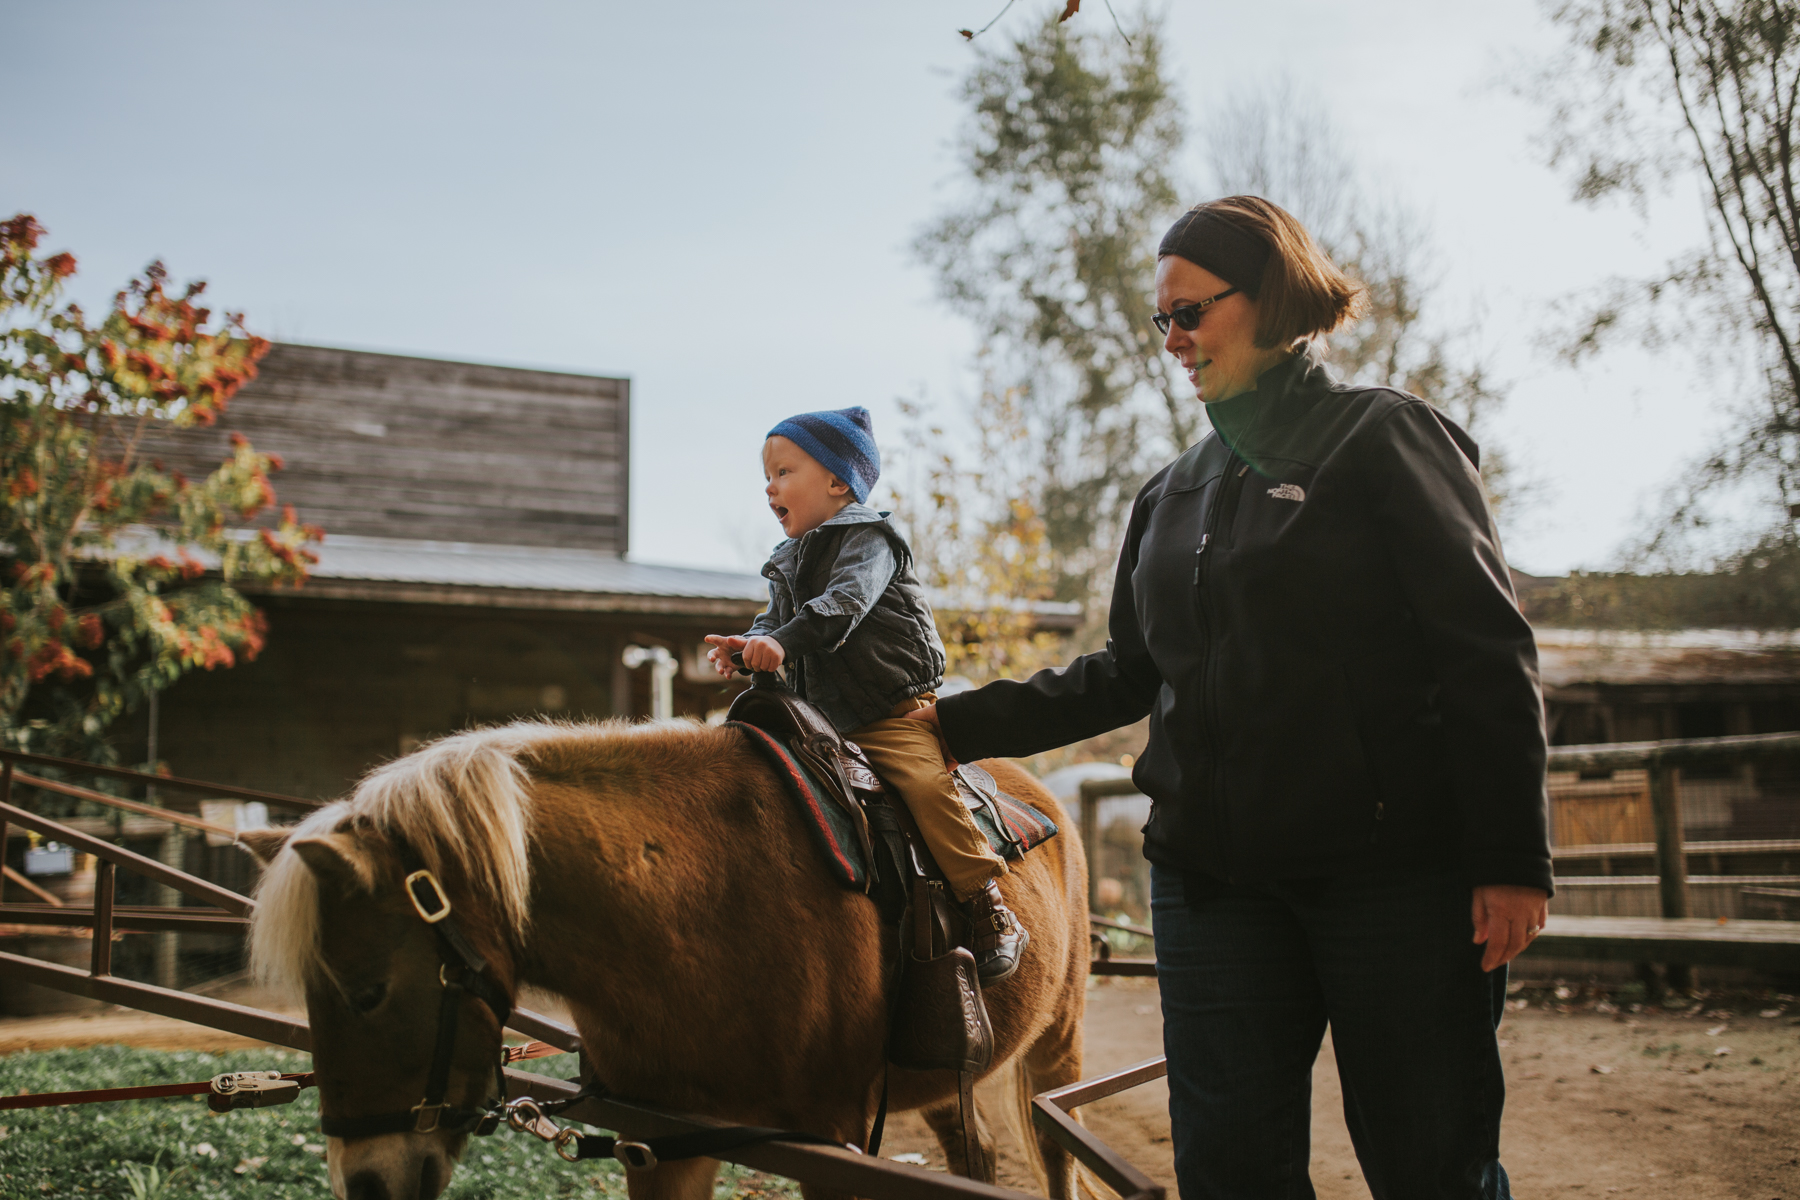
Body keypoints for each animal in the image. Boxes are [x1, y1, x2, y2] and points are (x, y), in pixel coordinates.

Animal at [244, 723, 1087, 1200]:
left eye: (368, 993)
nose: (364, 1184)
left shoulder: (833, 1143)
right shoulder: (664, 1146)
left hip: (1058, 1043)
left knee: (1056, 1152)